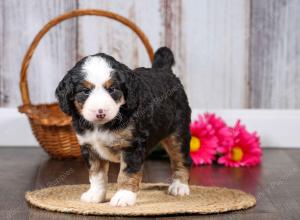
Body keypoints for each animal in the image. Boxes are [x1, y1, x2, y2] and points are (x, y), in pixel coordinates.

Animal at [55, 47, 191, 207]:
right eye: (85, 91)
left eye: (112, 89)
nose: (100, 112)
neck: (101, 126)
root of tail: (163, 70)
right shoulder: (90, 148)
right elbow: (96, 174)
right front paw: (95, 194)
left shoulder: (131, 145)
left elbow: (128, 173)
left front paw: (124, 196)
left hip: (178, 133)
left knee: (180, 159)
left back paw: (179, 186)